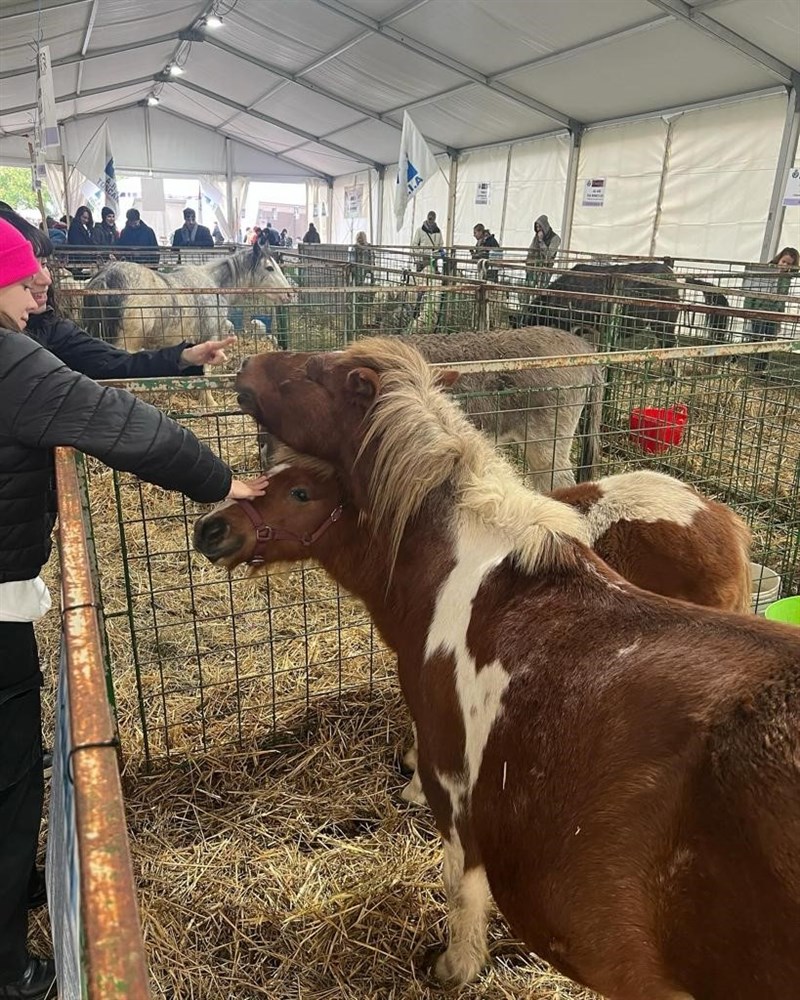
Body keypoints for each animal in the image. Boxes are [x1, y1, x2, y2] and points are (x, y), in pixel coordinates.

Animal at [225, 340, 800, 996]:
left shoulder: (458, 788)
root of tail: (724, 521)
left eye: (315, 371)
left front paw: (455, 966)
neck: (466, 561)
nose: (244, 367)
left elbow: (461, 885)